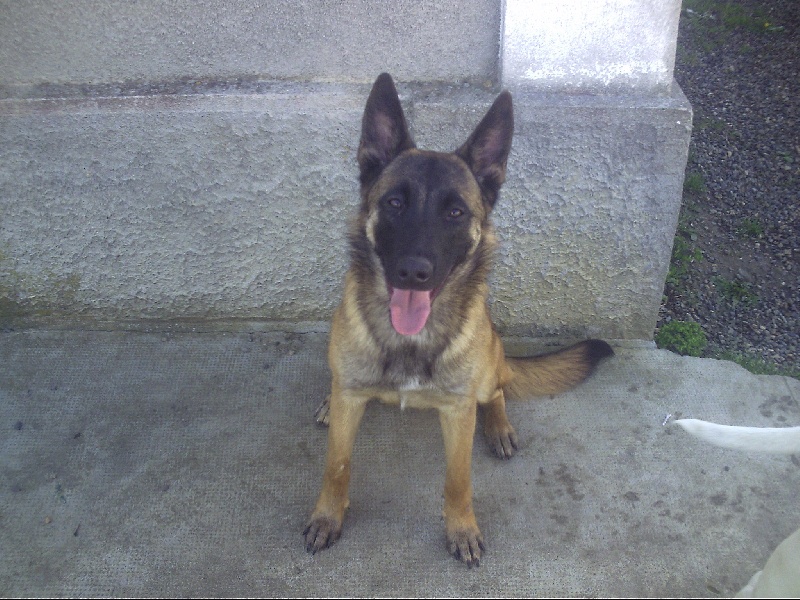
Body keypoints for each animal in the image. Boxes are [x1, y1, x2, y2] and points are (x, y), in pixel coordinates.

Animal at [304, 73, 613, 566]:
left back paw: (499, 426)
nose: (413, 271)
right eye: (394, 203)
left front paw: (461, 528)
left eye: (455, 212)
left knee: (499, 389)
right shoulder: (351, 402)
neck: (410, 340)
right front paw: (328, 516)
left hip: (487, 369)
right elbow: (337, 466)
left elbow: (458, 480)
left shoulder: (457, 412)